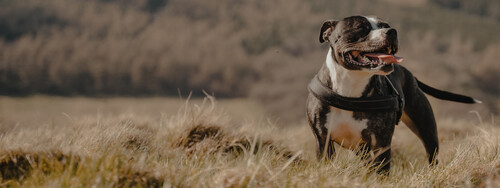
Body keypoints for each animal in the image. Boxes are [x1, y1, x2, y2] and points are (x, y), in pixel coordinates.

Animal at [304, 15, 480, 171]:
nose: (392, 31)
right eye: (360, 27)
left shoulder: (381, 142)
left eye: (385, 25)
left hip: (426, 129)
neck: (351, 87)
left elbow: (381, 171)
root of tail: (410, 74)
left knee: (432, 155)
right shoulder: (323, 140)